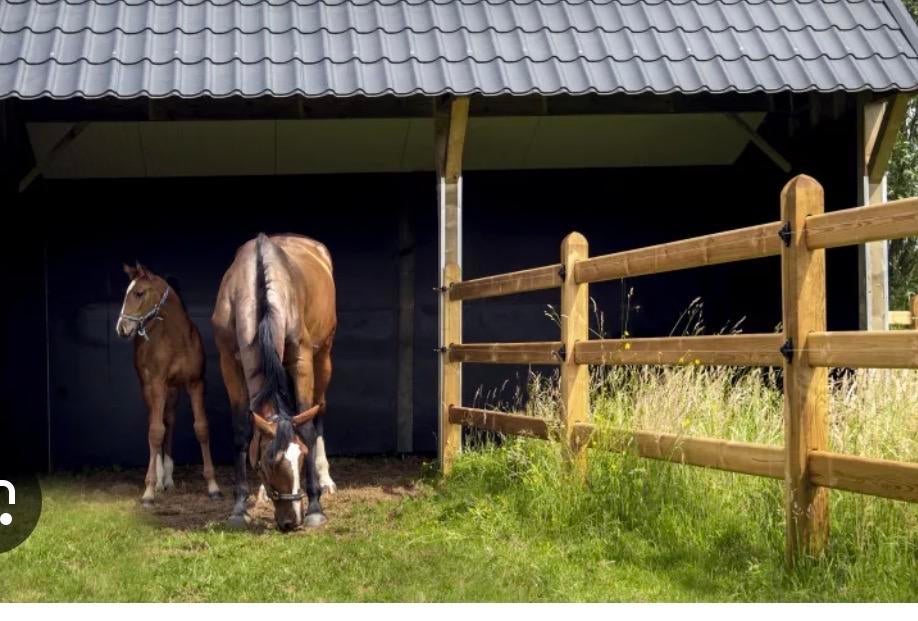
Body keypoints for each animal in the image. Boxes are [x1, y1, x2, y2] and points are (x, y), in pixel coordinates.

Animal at [115, 262, 221, 505]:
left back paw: (169, 479)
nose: (122, 328)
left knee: (169, 421)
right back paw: (159, 479)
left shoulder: (195, 384)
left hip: (172, 391)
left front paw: (213, 486)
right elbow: (155, 431)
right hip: (151, 388)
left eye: (139, 293)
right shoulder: (156, 384)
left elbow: (201, 428)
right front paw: (149, 490)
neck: (178, 339)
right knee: (155, 423)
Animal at [212, 233, 337, 531]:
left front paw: (315, 507)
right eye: (268, 464)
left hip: (324, 356)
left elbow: (307, 427)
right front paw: (239, 508)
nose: (291, 520)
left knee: (319, 411)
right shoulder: (228, 361)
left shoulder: (302, 357)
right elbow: (242, 430)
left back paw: (325, 479)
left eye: (302, 455)